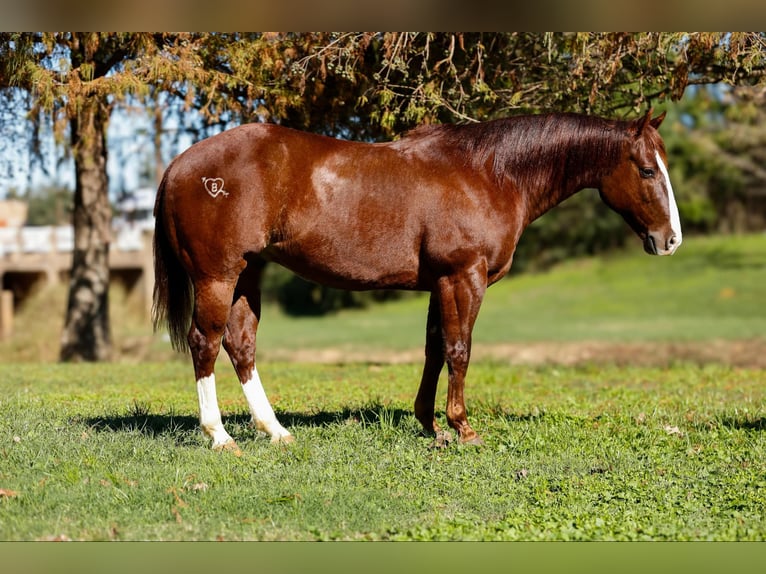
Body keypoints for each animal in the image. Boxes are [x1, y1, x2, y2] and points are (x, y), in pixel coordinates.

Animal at [152, 108, 682, 453]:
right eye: (647, 170)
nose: (671, 239)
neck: (488, 174)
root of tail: (179, 164)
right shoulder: (463, 277)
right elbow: (459, 349)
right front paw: (463, 428)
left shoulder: (439, 283)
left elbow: (434, 349)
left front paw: (430, 424)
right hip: (218, 277)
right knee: (205, 343)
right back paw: (220, 435)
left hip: (247, 275)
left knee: (240, 345)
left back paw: (274, 430)